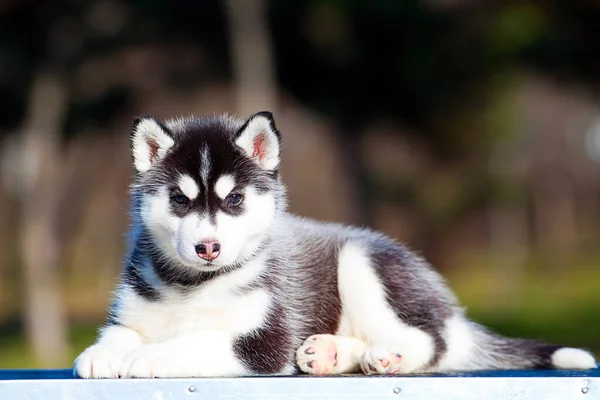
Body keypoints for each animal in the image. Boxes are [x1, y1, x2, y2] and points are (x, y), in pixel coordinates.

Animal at [74, 111, 596, 376]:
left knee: (432, 342)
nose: (208, 249)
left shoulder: (268, 340)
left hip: (362, 264)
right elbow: (117, 334)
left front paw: (151, 356)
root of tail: (448, 308)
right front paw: (100, 355)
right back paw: (331, 353)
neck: (192, 285)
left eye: (235, 199)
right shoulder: (134, 311)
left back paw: (387, 356)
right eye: (180, 200)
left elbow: (201, 341)